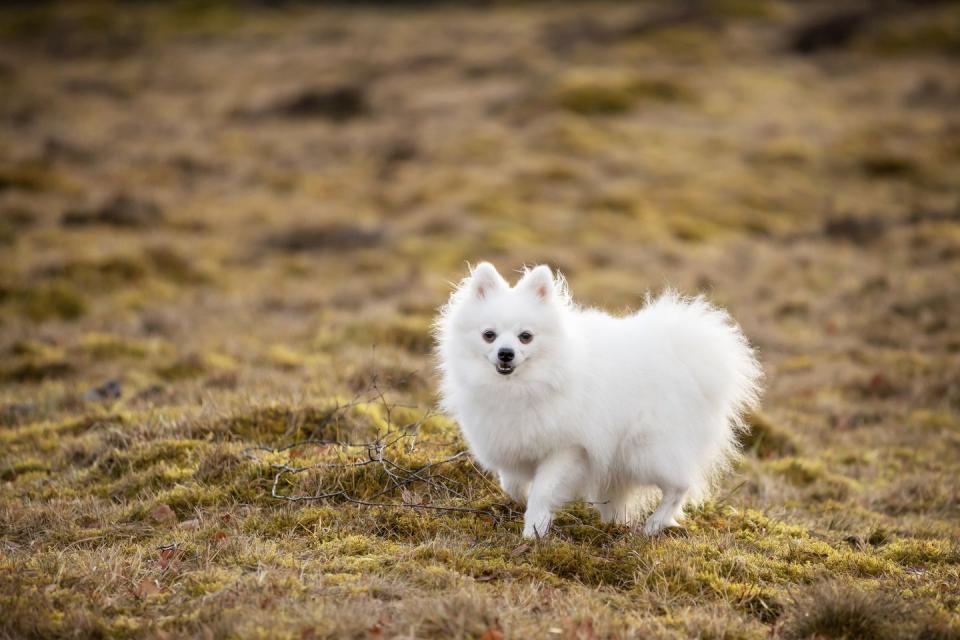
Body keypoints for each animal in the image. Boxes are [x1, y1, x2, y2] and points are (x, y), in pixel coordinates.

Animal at [436, 262, 764, 536]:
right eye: (489, 335)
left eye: (525, 337)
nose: (506, 354)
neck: (525, 386)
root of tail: (685, 354)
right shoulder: (510, 441)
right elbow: (513, 484)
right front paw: (524, 506)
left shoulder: (567, 449)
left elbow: (543, 491)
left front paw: (534, 531)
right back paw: (616, 522)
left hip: (646, 450)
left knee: (679, 486)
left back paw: (654, 525)